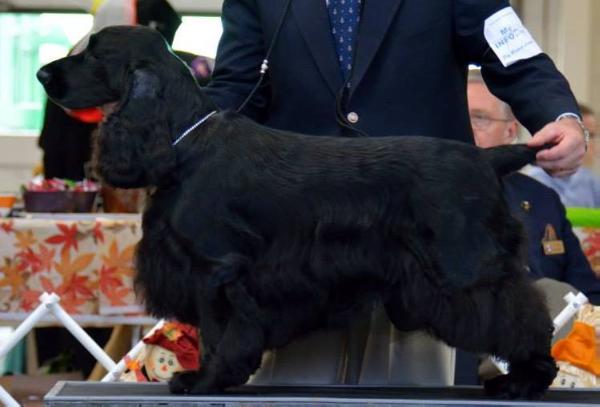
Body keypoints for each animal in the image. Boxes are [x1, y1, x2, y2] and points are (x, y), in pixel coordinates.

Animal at [37, 24, 556, 398]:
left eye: (93, 54)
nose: (43, 75)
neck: (185, 143)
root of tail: (488, 158)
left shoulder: (215, 268)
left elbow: (215, 332)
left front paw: (204, 379)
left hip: (464, 268)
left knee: (521, 316)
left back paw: (525, 380)